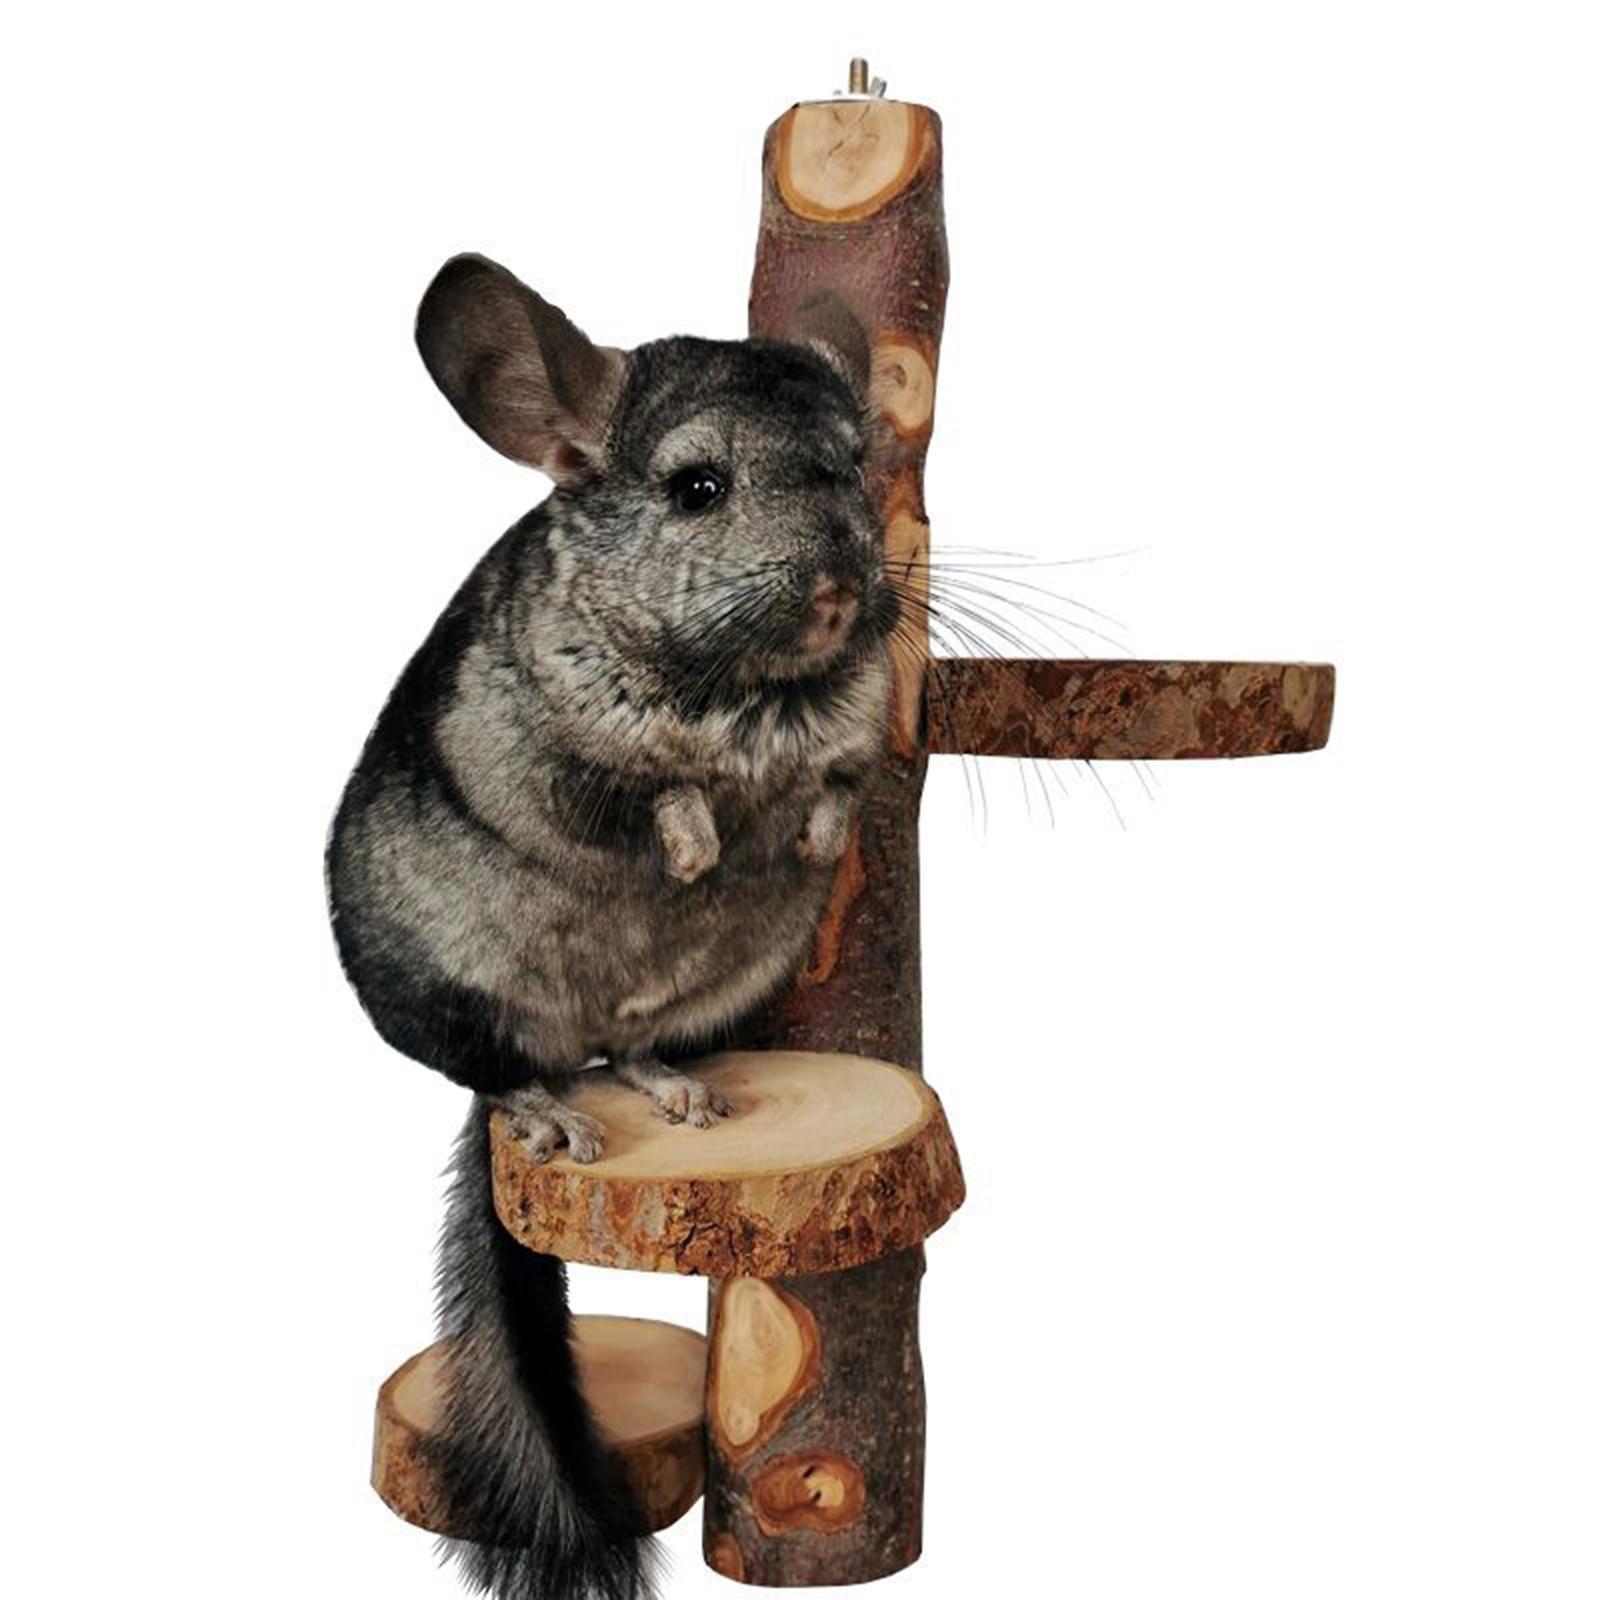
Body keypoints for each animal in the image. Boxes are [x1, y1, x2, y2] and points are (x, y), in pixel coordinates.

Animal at [326, 254, 898, 1600]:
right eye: (698, 486)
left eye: (860, 467)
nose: (841, 585)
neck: (751, 698)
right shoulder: (554, 742)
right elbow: (645, 790)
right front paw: (693, 847)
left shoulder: (858, 720)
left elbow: (841, 778)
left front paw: (811, 839)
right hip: (459, 991)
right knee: (497, 1075)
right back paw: (554, 1116)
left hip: (715, 985)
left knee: (633, 1044)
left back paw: (679, 1091)